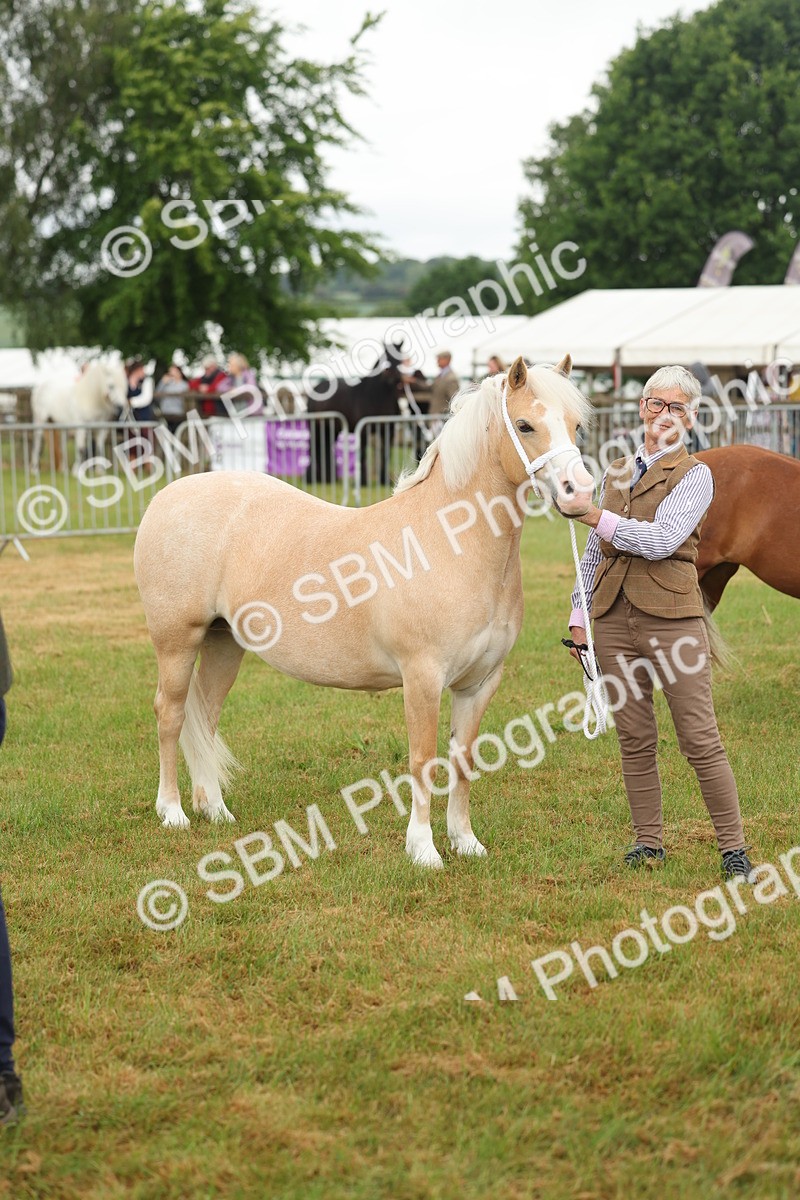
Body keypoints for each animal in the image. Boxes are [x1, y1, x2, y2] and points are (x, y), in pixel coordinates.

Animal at [134, 355, 595, 867]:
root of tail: (167, 496)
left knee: (206, 717)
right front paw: (423, 850)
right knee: (171, 714)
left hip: (223, 644)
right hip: (178, 642)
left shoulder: (479, 683)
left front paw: (465, 841)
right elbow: (423, 760)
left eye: (576, 425)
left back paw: (215, 810)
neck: (448, 542)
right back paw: (173, 812)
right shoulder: (422, 678)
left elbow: (464, 760)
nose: (579, 493)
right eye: (525, 425)